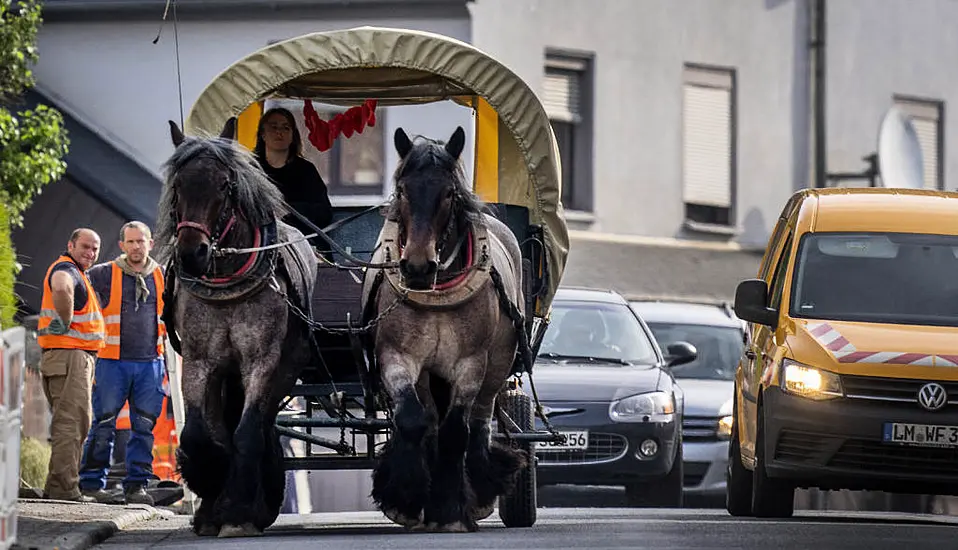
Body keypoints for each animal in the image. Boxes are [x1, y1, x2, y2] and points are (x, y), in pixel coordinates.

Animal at [158, 119, 318, 540]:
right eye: (178, 186)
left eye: (225, 185)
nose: (191, 254)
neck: (228, 283)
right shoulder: (199, 361)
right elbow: (200, 434)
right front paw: (210, 493)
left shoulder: (261, 361)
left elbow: (246, 432)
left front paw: (238, 512)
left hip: (284, 369)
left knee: (259, 425)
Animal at [366, 126, 532, 536]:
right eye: (403, 190)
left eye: (448, 193)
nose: (417, 266)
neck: (437, 291)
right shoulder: (397, 357)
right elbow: (414, 420)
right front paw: (406, 498)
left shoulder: (470, 363)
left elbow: (457, 430)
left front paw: (450, 511)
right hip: (428, 373)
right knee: (429, 420)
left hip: (497, 366)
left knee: (479, 423)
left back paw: (480, 488)